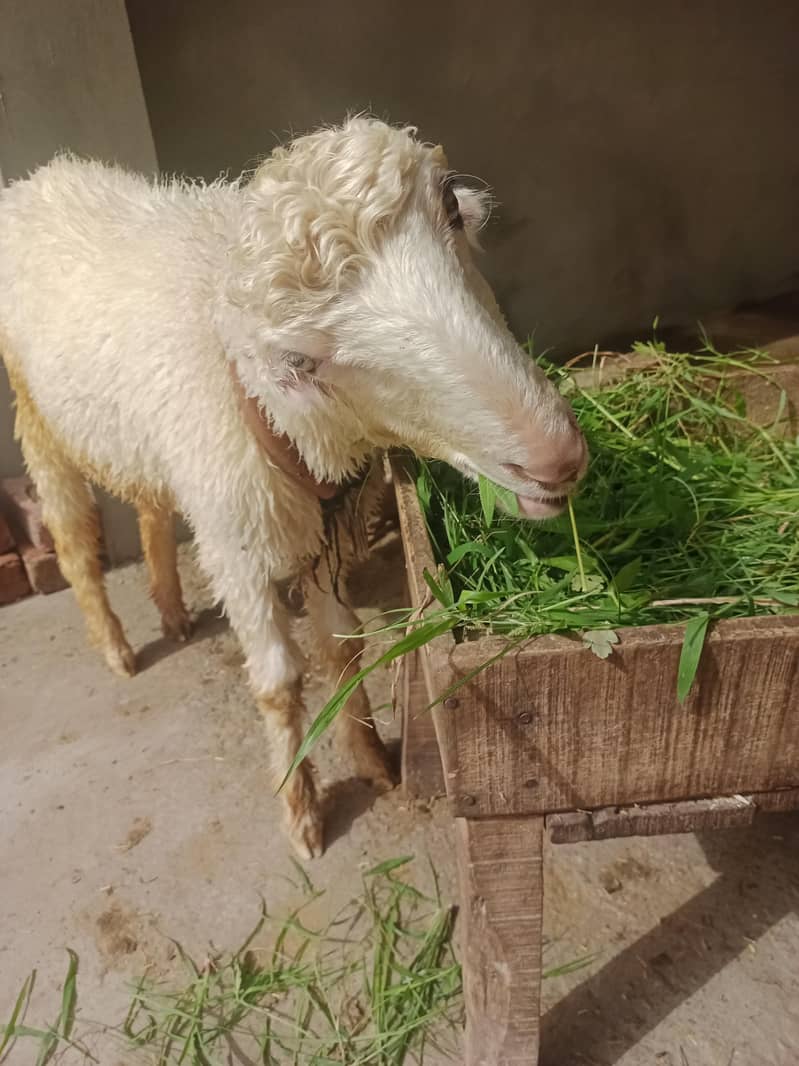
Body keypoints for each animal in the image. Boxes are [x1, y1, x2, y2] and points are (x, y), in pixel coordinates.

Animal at [0, 118, 587, 857]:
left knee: (150, 506)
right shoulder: (238, 544)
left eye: (452, 212)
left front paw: (371, 759)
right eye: (301, 361)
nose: (555, 459)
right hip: (37, 417)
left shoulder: (324, 525)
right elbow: (279, 683)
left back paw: (170, 608)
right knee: (75, 539)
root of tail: (39, 177)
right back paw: (115, 647)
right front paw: (300, 808)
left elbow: (343, 649)